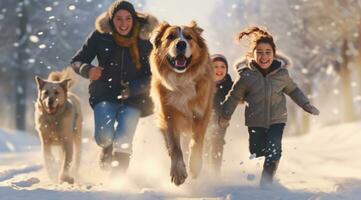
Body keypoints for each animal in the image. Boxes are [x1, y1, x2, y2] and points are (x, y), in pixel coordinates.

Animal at [149, 21, 214, 186]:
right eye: (170, 37)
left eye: (189, 37)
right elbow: (175, 147)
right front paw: (178, 173)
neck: (181, 79)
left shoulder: (201, 114)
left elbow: (196, 142)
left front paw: (195, 167)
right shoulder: (168, 115)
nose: (181, 44)